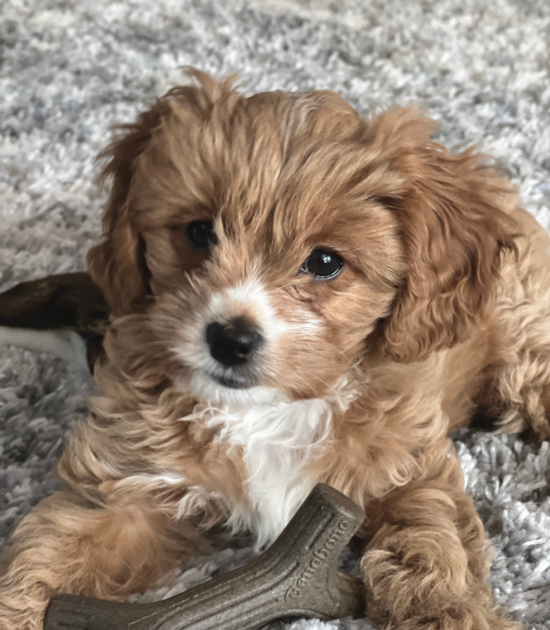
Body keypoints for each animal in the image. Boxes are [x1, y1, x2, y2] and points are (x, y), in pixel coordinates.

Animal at [2, 69, 548, 630]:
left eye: (325, 262)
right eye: (201, 232)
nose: (231, 339)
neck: (268, 409)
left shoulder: (410, 466)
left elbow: (432, 538)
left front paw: (449, 611)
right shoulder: (129, 486)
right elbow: (52, 553)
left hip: (523, 347)